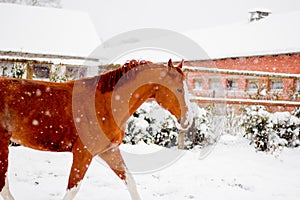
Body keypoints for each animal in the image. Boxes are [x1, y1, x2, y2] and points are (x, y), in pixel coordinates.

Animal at [0, 59, 190, 198]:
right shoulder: (83, 154)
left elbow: (130, 181)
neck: (105, 105)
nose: (187, 121)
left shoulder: (110, 151)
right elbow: (72, 189)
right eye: (179, 89)